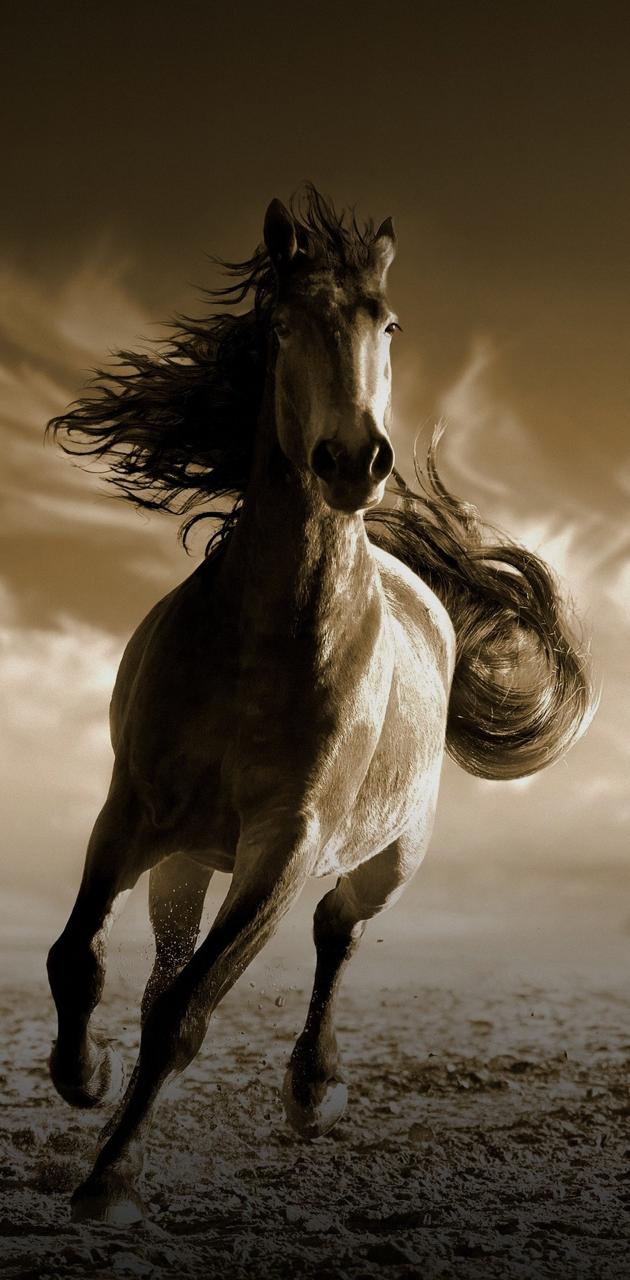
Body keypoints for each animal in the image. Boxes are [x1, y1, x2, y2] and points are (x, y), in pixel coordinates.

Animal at [45, 185, 593, 1225]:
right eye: (283, 321)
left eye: (390, 323)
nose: (353, 460)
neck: (263, 644)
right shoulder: (130, 811)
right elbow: (80, 960)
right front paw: (82, 1077)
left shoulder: (286, 844)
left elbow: (187, 1014)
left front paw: (109, 1179)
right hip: (189, 857)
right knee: (168, 953)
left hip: (388, 856)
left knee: (337, 934)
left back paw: (313, 1090)